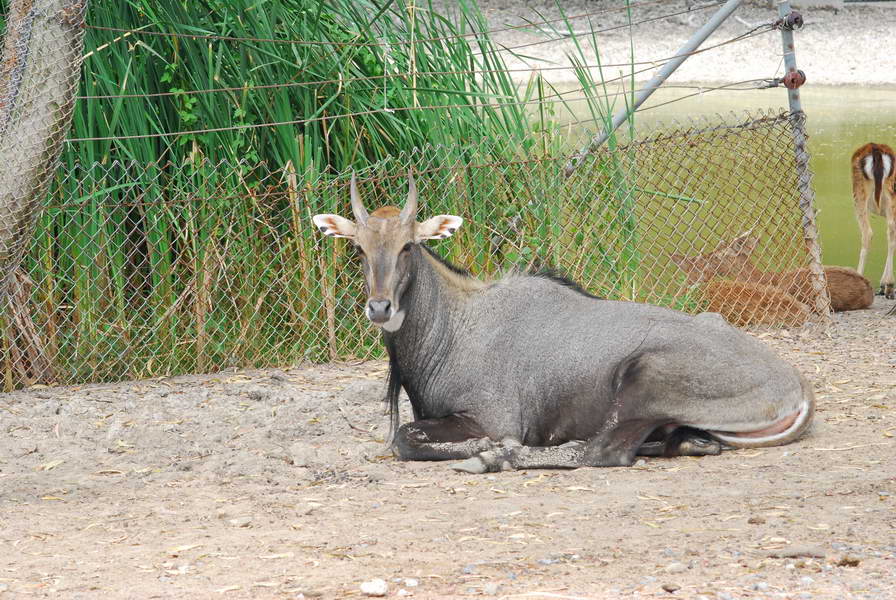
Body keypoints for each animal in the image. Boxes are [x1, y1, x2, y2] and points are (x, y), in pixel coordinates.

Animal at [312, 175, 816, 474]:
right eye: (358, 248)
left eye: (408, 246)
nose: (380, 308)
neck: (455, 326)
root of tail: (798, 387)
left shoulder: (491, 416)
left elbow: (404, 438)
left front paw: (484, 449)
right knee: (680, 443)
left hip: (644, 381)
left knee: (602, 451)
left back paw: (498, 457)